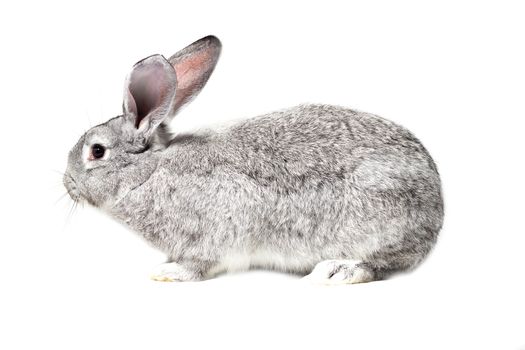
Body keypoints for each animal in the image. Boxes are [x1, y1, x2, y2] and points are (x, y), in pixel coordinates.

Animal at [64, 35, 442, 284]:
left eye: (96, 151)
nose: (67, 182)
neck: (148, 173)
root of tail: (437, 207)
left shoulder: (212, 234)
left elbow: (199, 264)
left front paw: (167, 271)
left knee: (382, 263)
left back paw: (338, 270)